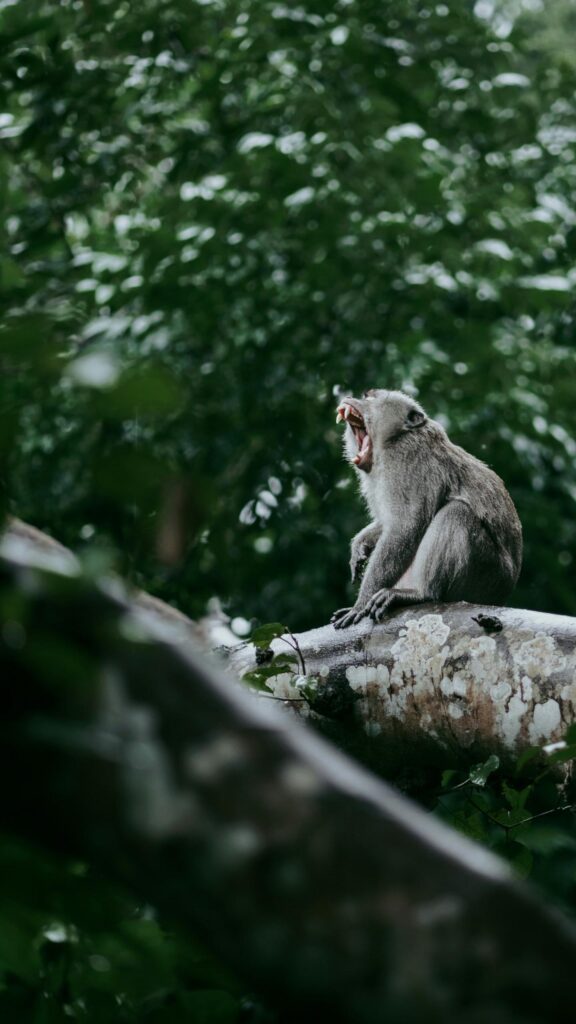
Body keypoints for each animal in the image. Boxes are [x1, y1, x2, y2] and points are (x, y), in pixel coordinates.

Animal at [331, 389, 522, 629]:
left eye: (370, 396)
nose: (351, 398)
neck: (395, 439)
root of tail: (502, 597)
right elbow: (387, 523)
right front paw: (360, 545)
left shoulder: (406, 461)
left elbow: (405, 527)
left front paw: (360, 604)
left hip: (488, 576)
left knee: (456, 512)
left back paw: (422, 593)